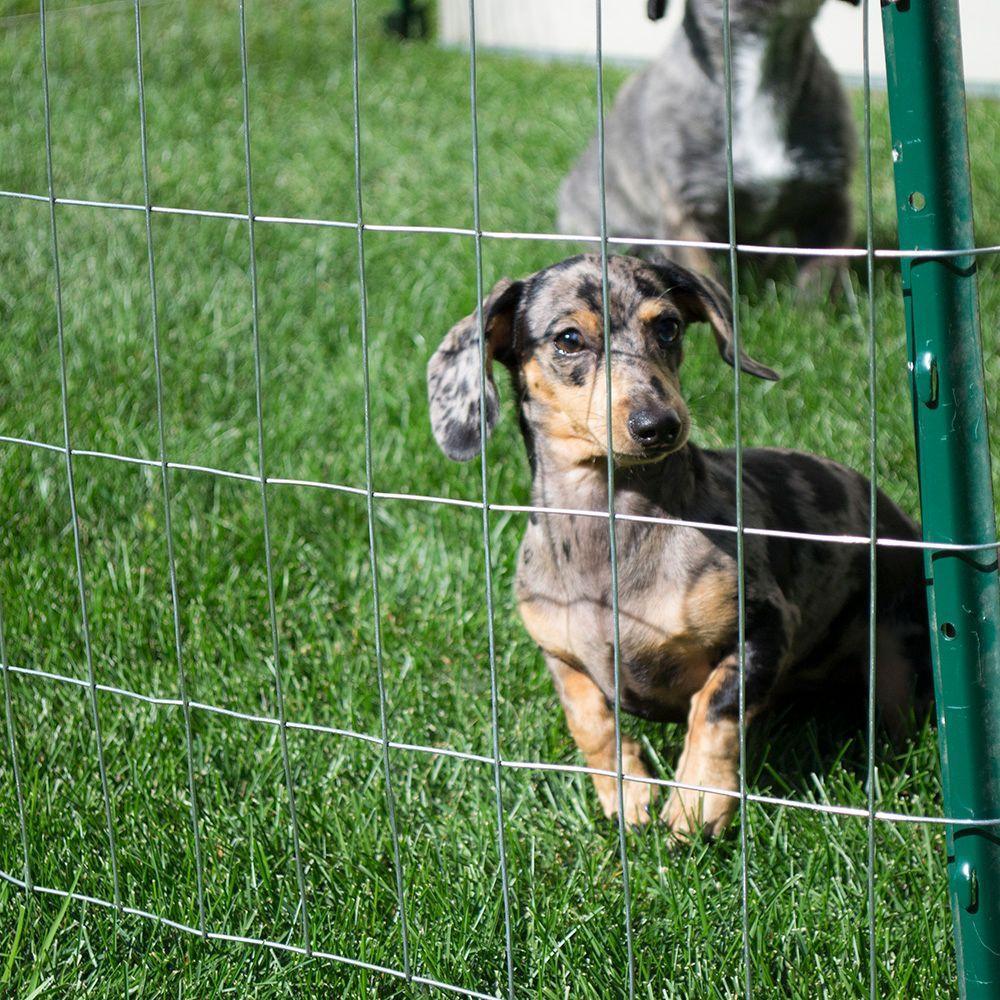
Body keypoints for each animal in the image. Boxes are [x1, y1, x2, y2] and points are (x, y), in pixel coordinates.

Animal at [424, 252, 928, 836]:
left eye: (666, 327)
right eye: (569, 339)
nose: (658, 425)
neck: (611, 533)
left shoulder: (764, 626)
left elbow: (714, 707)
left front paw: (695, 802)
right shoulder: (560, 657)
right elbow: (591, 724)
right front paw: (629, 800)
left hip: (897, 664)